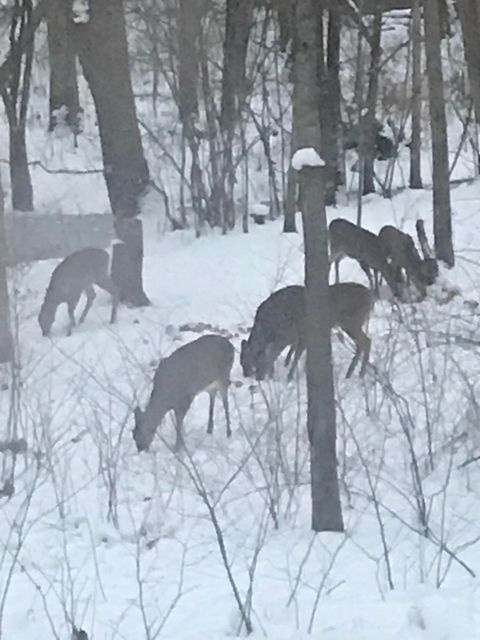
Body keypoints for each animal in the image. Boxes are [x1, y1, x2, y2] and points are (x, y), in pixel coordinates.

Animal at [240, 282, 376, 382]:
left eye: (250, 360)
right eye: (241, 361)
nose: (249, 375)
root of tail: (370, 296)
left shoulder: (295, 334)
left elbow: (291, 355)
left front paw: (289, 377)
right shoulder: (296, 336)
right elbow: (290, 354)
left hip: (351, 322)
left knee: (366, 341)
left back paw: (360, 374)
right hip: (350, 324)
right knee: (362, 343)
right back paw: (350, 373)